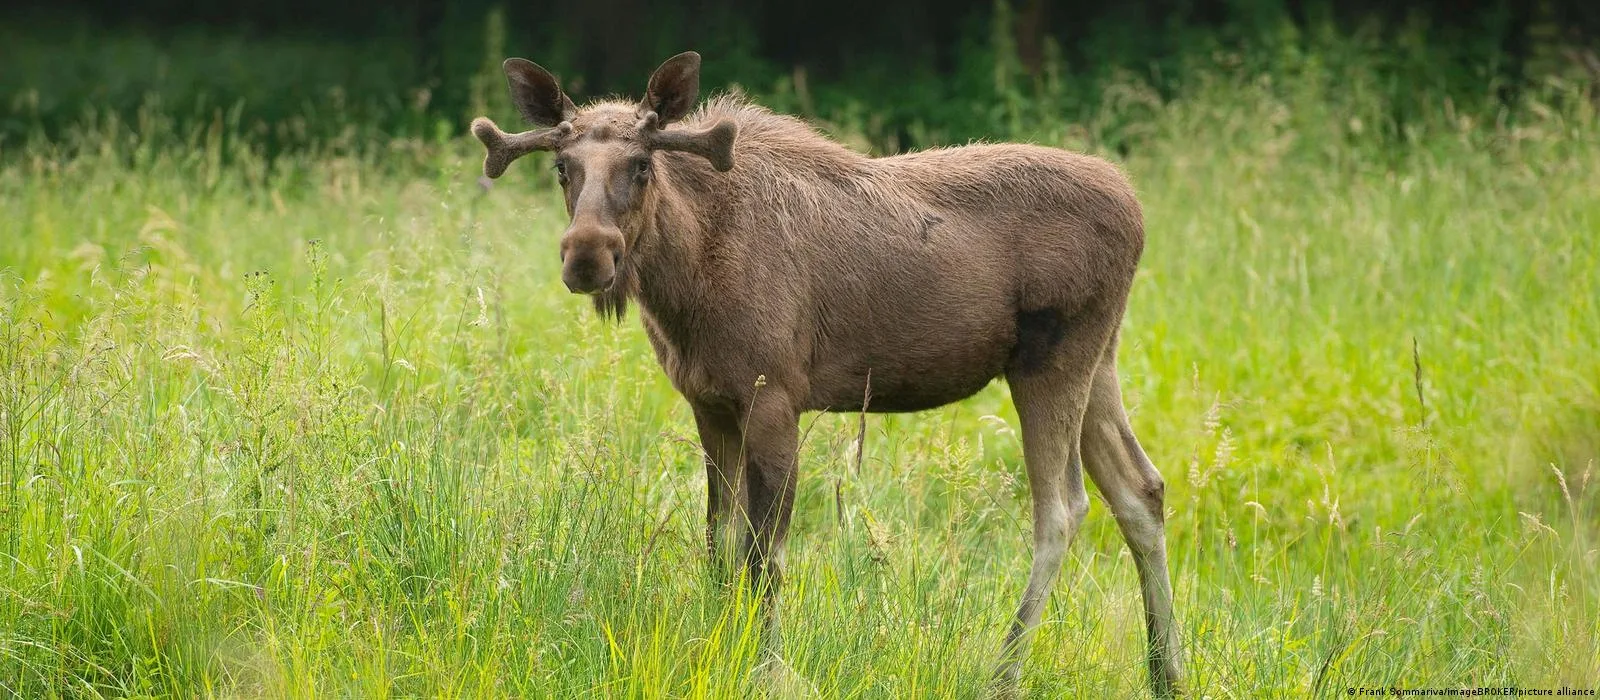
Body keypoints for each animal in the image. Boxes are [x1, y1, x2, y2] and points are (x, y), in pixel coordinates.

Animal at [470, 51, 1185, 695]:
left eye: (642, 165)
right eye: (562, 167)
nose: (587, 255)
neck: (686, 287)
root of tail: (1139, 212)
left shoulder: (775, 398)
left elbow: (765, 557)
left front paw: (763, 670)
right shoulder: (709, 403)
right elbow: (718, 544)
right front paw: (717, 651)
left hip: (1051, 360)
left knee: (1062, 508)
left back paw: (1003, 675)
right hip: (1099, 360)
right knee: (1141, 488)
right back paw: (1166, 672)